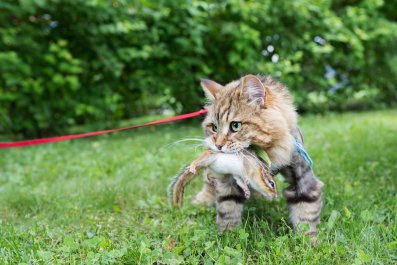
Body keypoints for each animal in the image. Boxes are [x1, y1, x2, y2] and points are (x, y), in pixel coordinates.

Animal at [193, 75, 324, 237]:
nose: (218, 145)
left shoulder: (303, 180)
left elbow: (306, 215)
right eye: (214, 128)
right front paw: (229, 235)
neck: (269, 155)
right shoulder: (228, 182)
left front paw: (310, 240)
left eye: (235, 126)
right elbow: (228, 209)